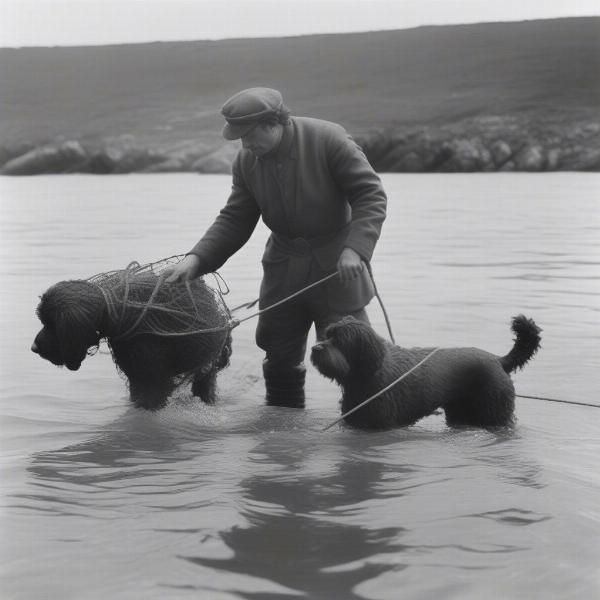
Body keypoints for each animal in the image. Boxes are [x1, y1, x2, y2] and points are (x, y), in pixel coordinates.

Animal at [29, 274, 232, 410]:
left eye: (52, 324)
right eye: (44, 321)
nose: (33, 348)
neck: (112, 310)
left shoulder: (153, 382)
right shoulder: (136, 377)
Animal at [312, 316, 540, 428]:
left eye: (341, 341)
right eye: (327, 334)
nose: (315, 349)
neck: (367, 376)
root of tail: (498, 360)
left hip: (496, 414)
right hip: (461, 413)